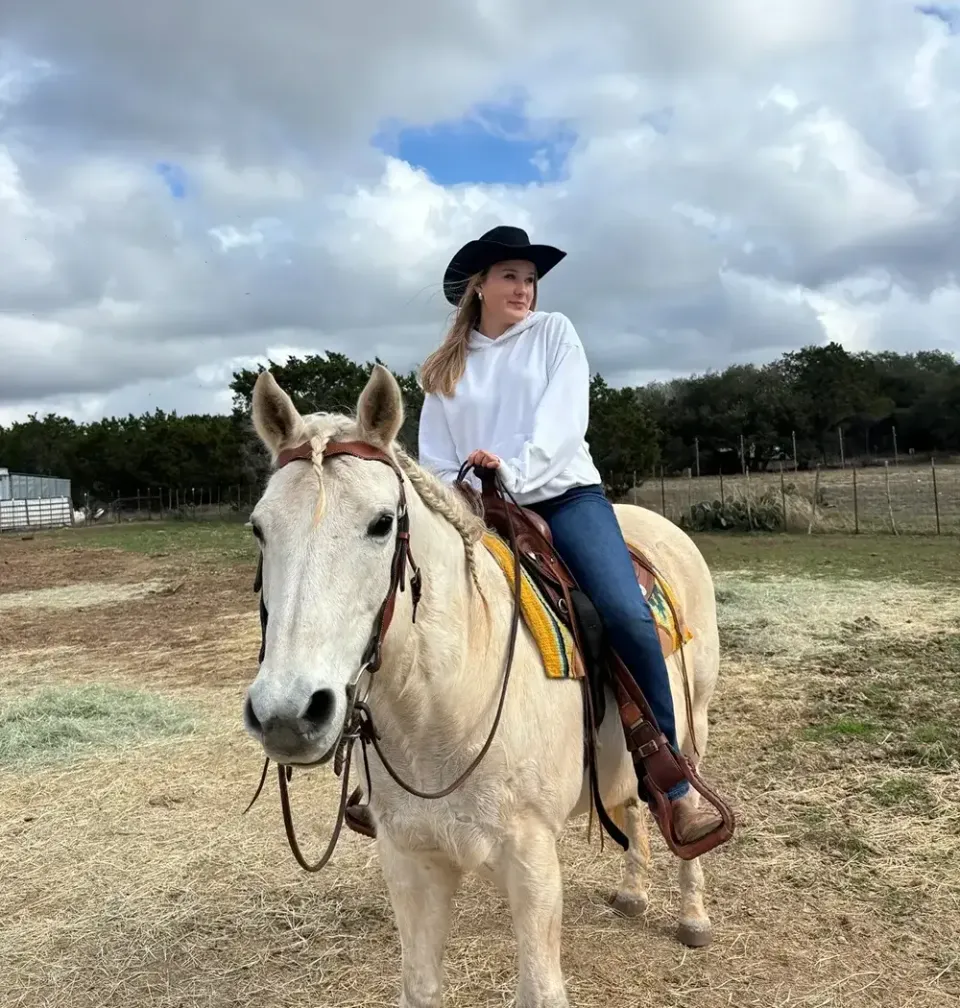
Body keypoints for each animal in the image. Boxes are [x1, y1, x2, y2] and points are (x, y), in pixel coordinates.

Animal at [243, 364, 722, 1008]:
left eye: (381, 523)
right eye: (260, 529)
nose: (289, 714)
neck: (441, 710)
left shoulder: (532, 862)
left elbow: (541, 990)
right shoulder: (410, 862)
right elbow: (421, 988)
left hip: (694, 724)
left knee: (678, 792)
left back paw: (692, 911)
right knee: (630, 795)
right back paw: (632, 892)